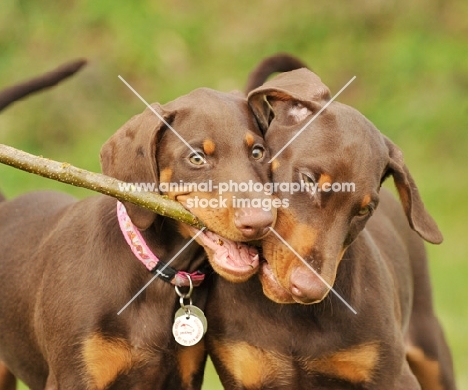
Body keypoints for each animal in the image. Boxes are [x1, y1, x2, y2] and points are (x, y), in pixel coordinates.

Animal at [0, 76, 276, 386]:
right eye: (196, 158)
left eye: (258, 152)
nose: (261, 222)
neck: (154, 276)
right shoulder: (74, 376)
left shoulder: (184, 375)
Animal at [207, 56, 456, 388]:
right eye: (308, 179)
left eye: (364, 210)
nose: (309, 289)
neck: (290, 316)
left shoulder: (393, 377)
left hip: (431, 349)